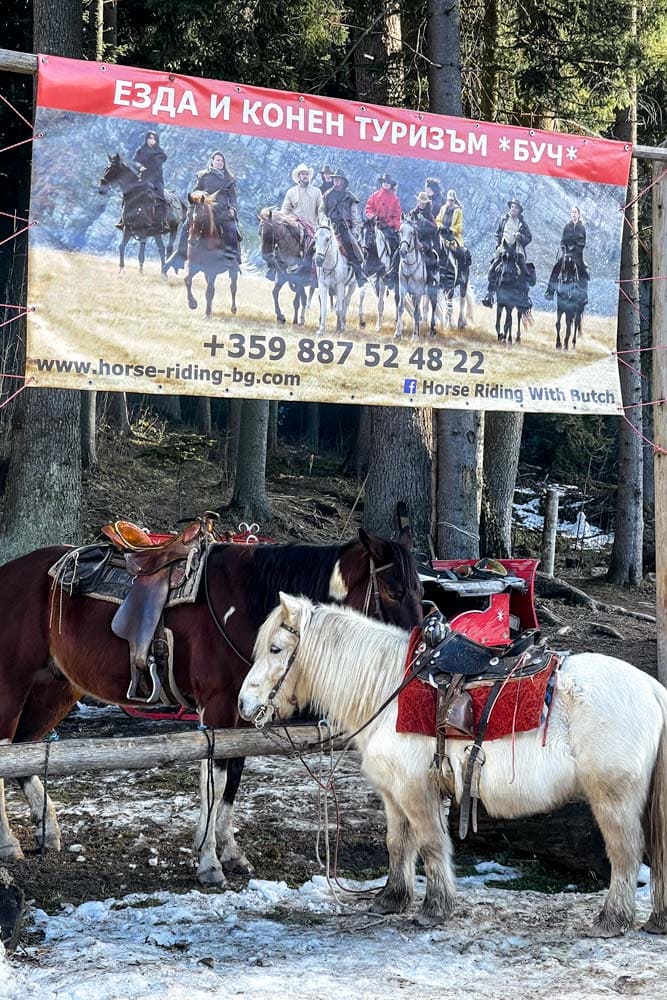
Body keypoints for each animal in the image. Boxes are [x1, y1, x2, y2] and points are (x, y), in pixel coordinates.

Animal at [0, 532, 422, 884]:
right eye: (392, 590)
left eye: (421, 590)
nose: (418, 653)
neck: (244, 600)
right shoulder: (218, 710)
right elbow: (215, 781)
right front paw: (208, 862)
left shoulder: (242, 714)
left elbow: (232, 779)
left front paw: (230, 852)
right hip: (13, 686)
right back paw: (9, 843)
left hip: (56, 688)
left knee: (27, 750)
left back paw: (47, 828)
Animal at [241, 592, 667, 936]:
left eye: (276, 649)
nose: (244, 705)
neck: (388, 690)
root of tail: (651, 687)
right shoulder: (393, 795)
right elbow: (398, 844)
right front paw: (392, 900)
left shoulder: (417, 791)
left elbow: (431, 844)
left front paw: (435, 908)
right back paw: (655, 921)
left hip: (613, 797)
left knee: (625, 853)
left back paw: (611, 921)